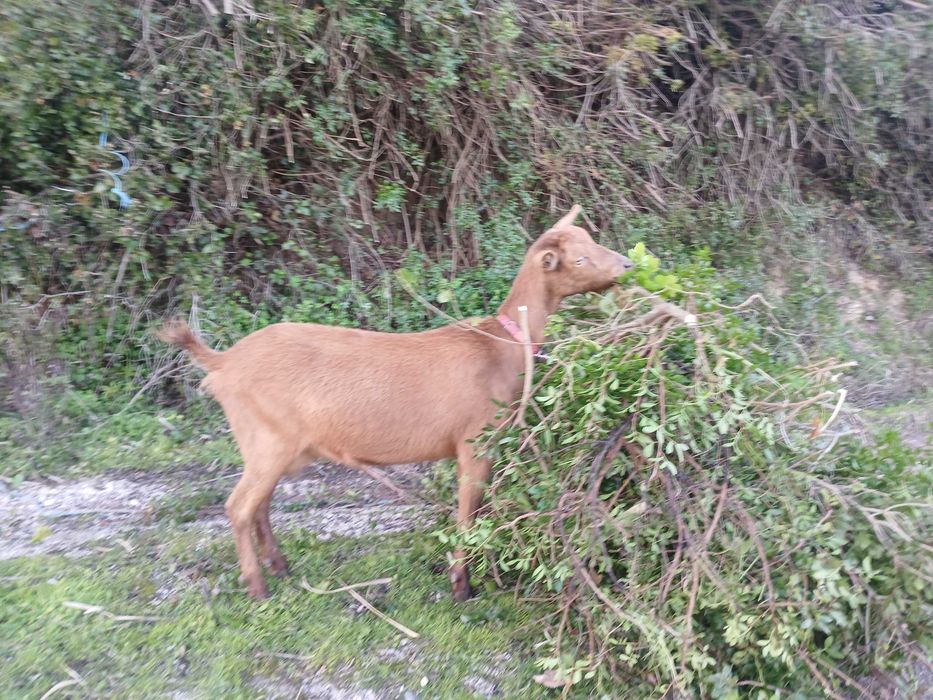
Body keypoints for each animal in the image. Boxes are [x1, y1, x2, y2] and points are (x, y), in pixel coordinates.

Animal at [158, 206, 633, 601]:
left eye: (592, 240)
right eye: (579, 259)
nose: (628, 265)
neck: (499, 348)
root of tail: (224, 362)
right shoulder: (474, 439)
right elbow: (468, 513)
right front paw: (463, 585)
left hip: (269, 443)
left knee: (259, 503)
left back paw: (279, 566)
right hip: (268, 436)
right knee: (238, 506)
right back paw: (257, 586)